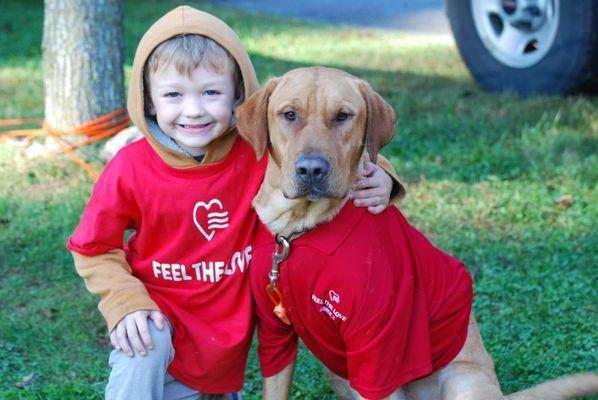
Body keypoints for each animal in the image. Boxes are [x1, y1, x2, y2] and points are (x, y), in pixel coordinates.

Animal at [237, 67, 596, 398]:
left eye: (342, 116)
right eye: (289, 115)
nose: (311, 169)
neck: (298, 231)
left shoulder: (377, 349)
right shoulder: (275, 333)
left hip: (462, 382)